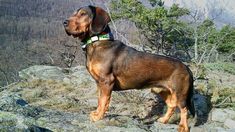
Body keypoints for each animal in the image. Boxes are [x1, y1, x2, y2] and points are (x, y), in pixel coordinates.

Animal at [63, 5, 195, 131]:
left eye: (83, 14)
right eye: (74, 13)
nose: (64, 22)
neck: (97, 42)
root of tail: (187, 68)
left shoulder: (106, 81)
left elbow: (104, 101)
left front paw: (98, 116)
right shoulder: (99, 83)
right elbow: (100, 100)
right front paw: (96, 113)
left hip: (180, 94)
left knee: (184, 109)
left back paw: (183, 127)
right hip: (162, 90)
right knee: (172, 105)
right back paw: (163, 120)